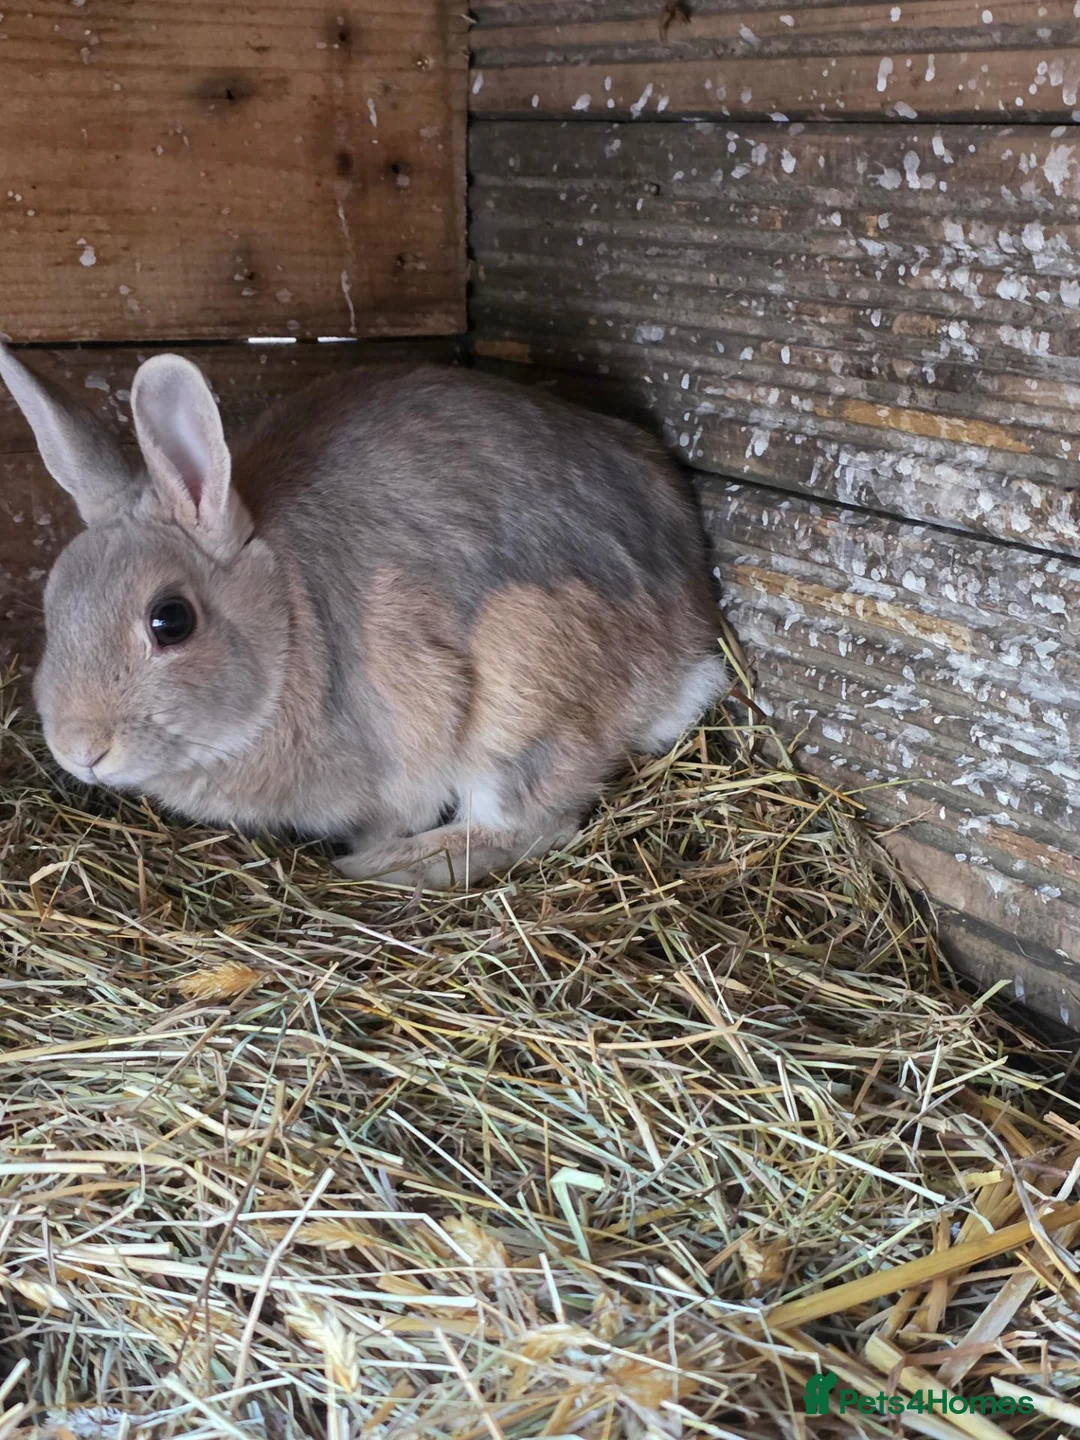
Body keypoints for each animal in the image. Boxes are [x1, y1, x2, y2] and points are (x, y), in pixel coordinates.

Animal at [0, 343, 726, 888]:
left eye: (170, 620)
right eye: (53, 602)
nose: (81, 750)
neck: (287, 623)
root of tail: (689, 641)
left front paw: (365, 848)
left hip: (522, 695)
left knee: (529, 824)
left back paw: (382, 866)